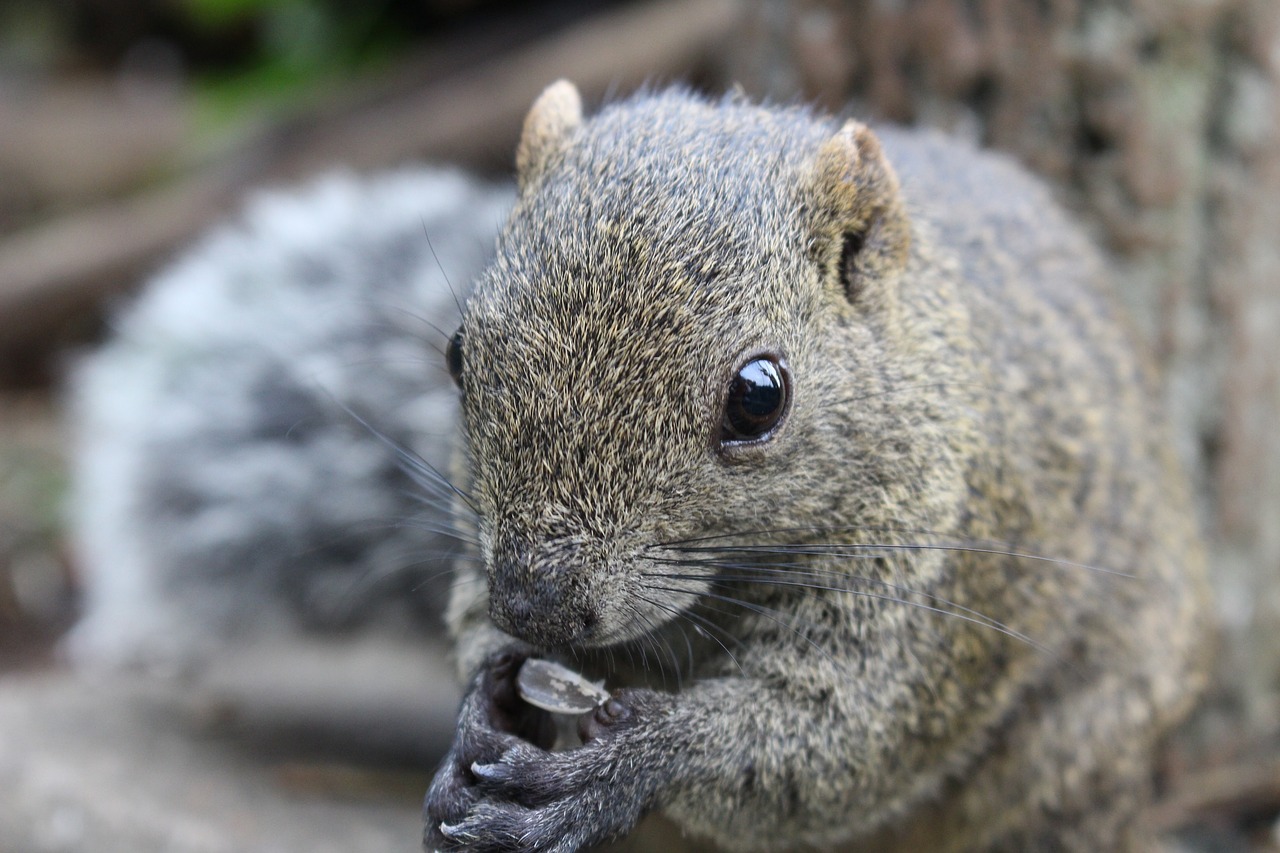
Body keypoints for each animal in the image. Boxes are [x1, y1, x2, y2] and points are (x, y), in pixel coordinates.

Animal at [417, 81, 1208, 850]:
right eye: (458, 354)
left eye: (758, 398)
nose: (533, 606)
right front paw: (479, 708)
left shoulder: (938, 570)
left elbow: (840, 730)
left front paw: (624, 765)